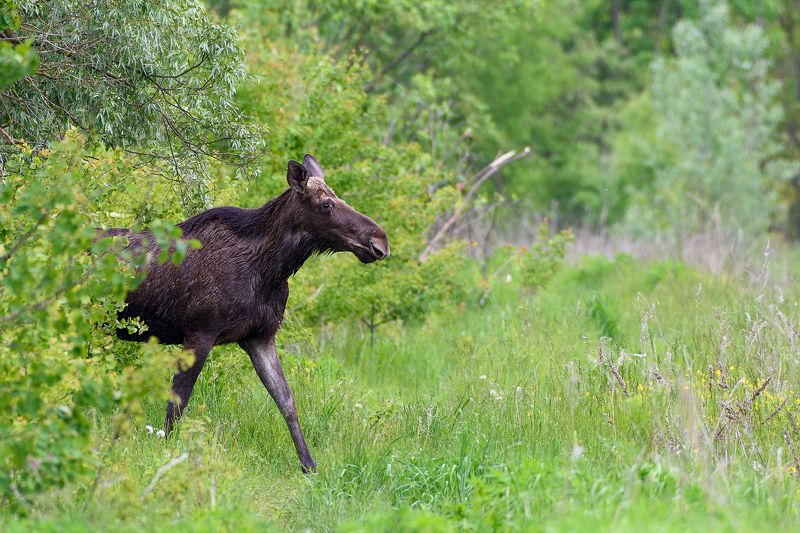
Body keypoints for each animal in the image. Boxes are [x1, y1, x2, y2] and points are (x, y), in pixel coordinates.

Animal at [110, 154, 389, 472]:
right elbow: (178, 401)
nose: (380, 242)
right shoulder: (200, 332)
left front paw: (308, 465)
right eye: (326, 204)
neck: (272, 269)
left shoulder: (261, 337)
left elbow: (287, 402)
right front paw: (166, 452)